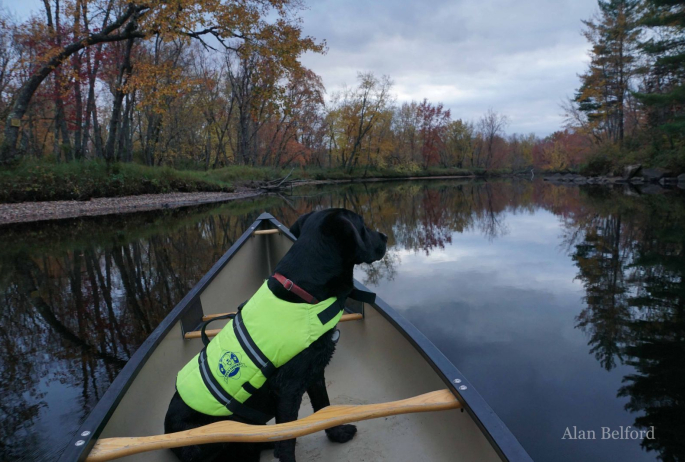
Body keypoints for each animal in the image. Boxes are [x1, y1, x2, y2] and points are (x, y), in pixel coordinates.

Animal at [164, 209, 388, 462]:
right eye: (363, 226)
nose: (385, 237)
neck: (305, 293)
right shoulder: (288, 389)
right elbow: (288, 438)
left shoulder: (315, 373)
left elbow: (324, 408)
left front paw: (337, 434)